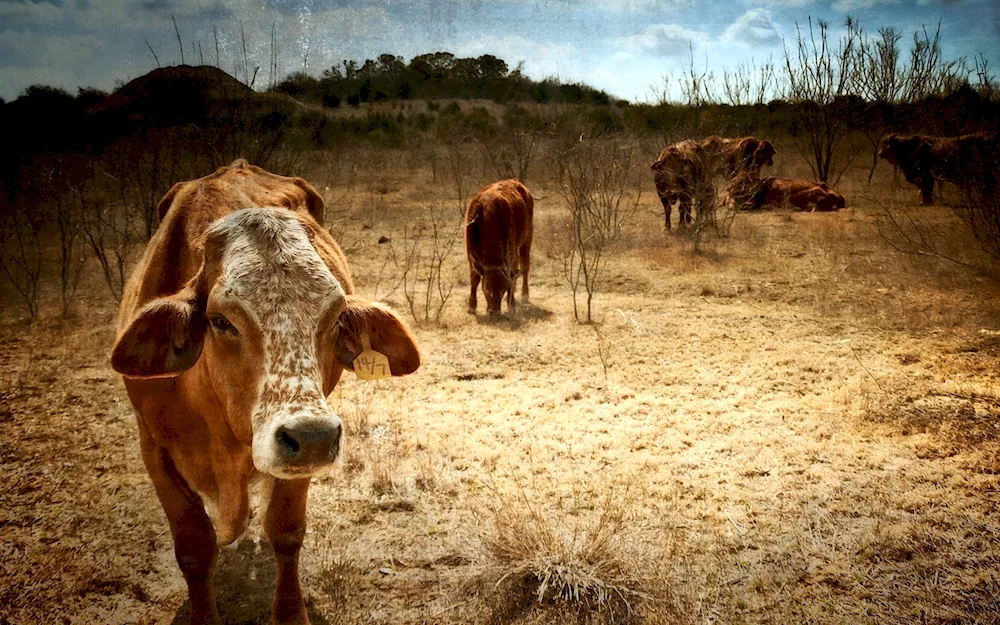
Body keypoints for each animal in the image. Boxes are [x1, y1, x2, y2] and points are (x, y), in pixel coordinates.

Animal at [111, 160, 420, 624]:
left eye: (336, 318)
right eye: (221, 321)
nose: (312, 436)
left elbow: (286, 530)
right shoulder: (153, 448)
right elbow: (194, 548)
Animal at [464, 179, 536, 316]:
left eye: (503, 290)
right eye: (486, 289)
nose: (494, 312)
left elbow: (511, 277)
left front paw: (511, 304)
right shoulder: (471, 254)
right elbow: (474, 278)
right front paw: (471, 307)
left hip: (527, 239)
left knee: (525, 266)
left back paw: (524, 295)